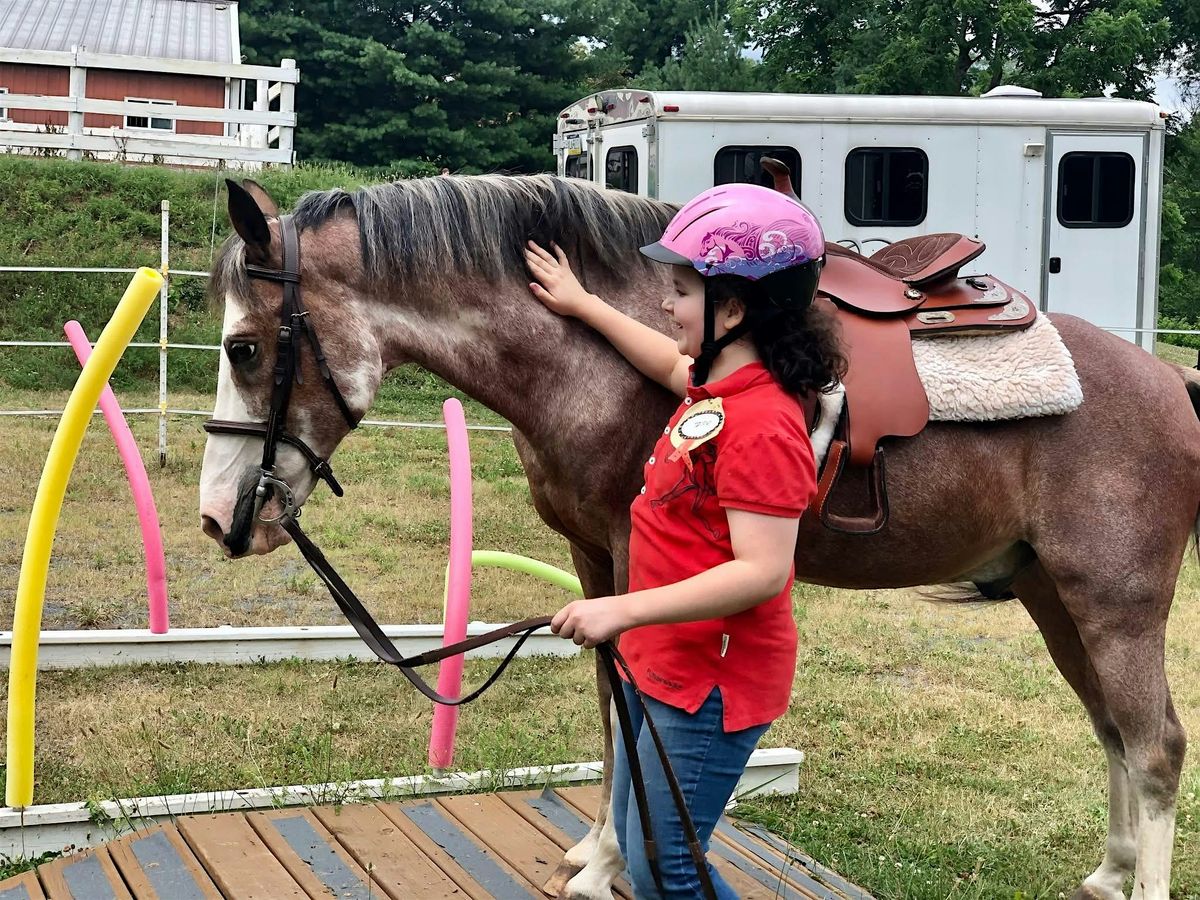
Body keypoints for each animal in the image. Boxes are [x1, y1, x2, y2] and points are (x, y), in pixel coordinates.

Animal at [198, 174, 1198, 900]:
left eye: (243, 349)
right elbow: (610, 708)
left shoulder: (634, 558)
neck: (594, 357)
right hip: (1051, 597)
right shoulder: (592, 561)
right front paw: (594, 845)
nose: (218, 519)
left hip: (1114, 604)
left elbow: (638, 703)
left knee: (1154, 745)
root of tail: (1169, 381)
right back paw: (1106, 873)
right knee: (1112, 729)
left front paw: (607, 864)